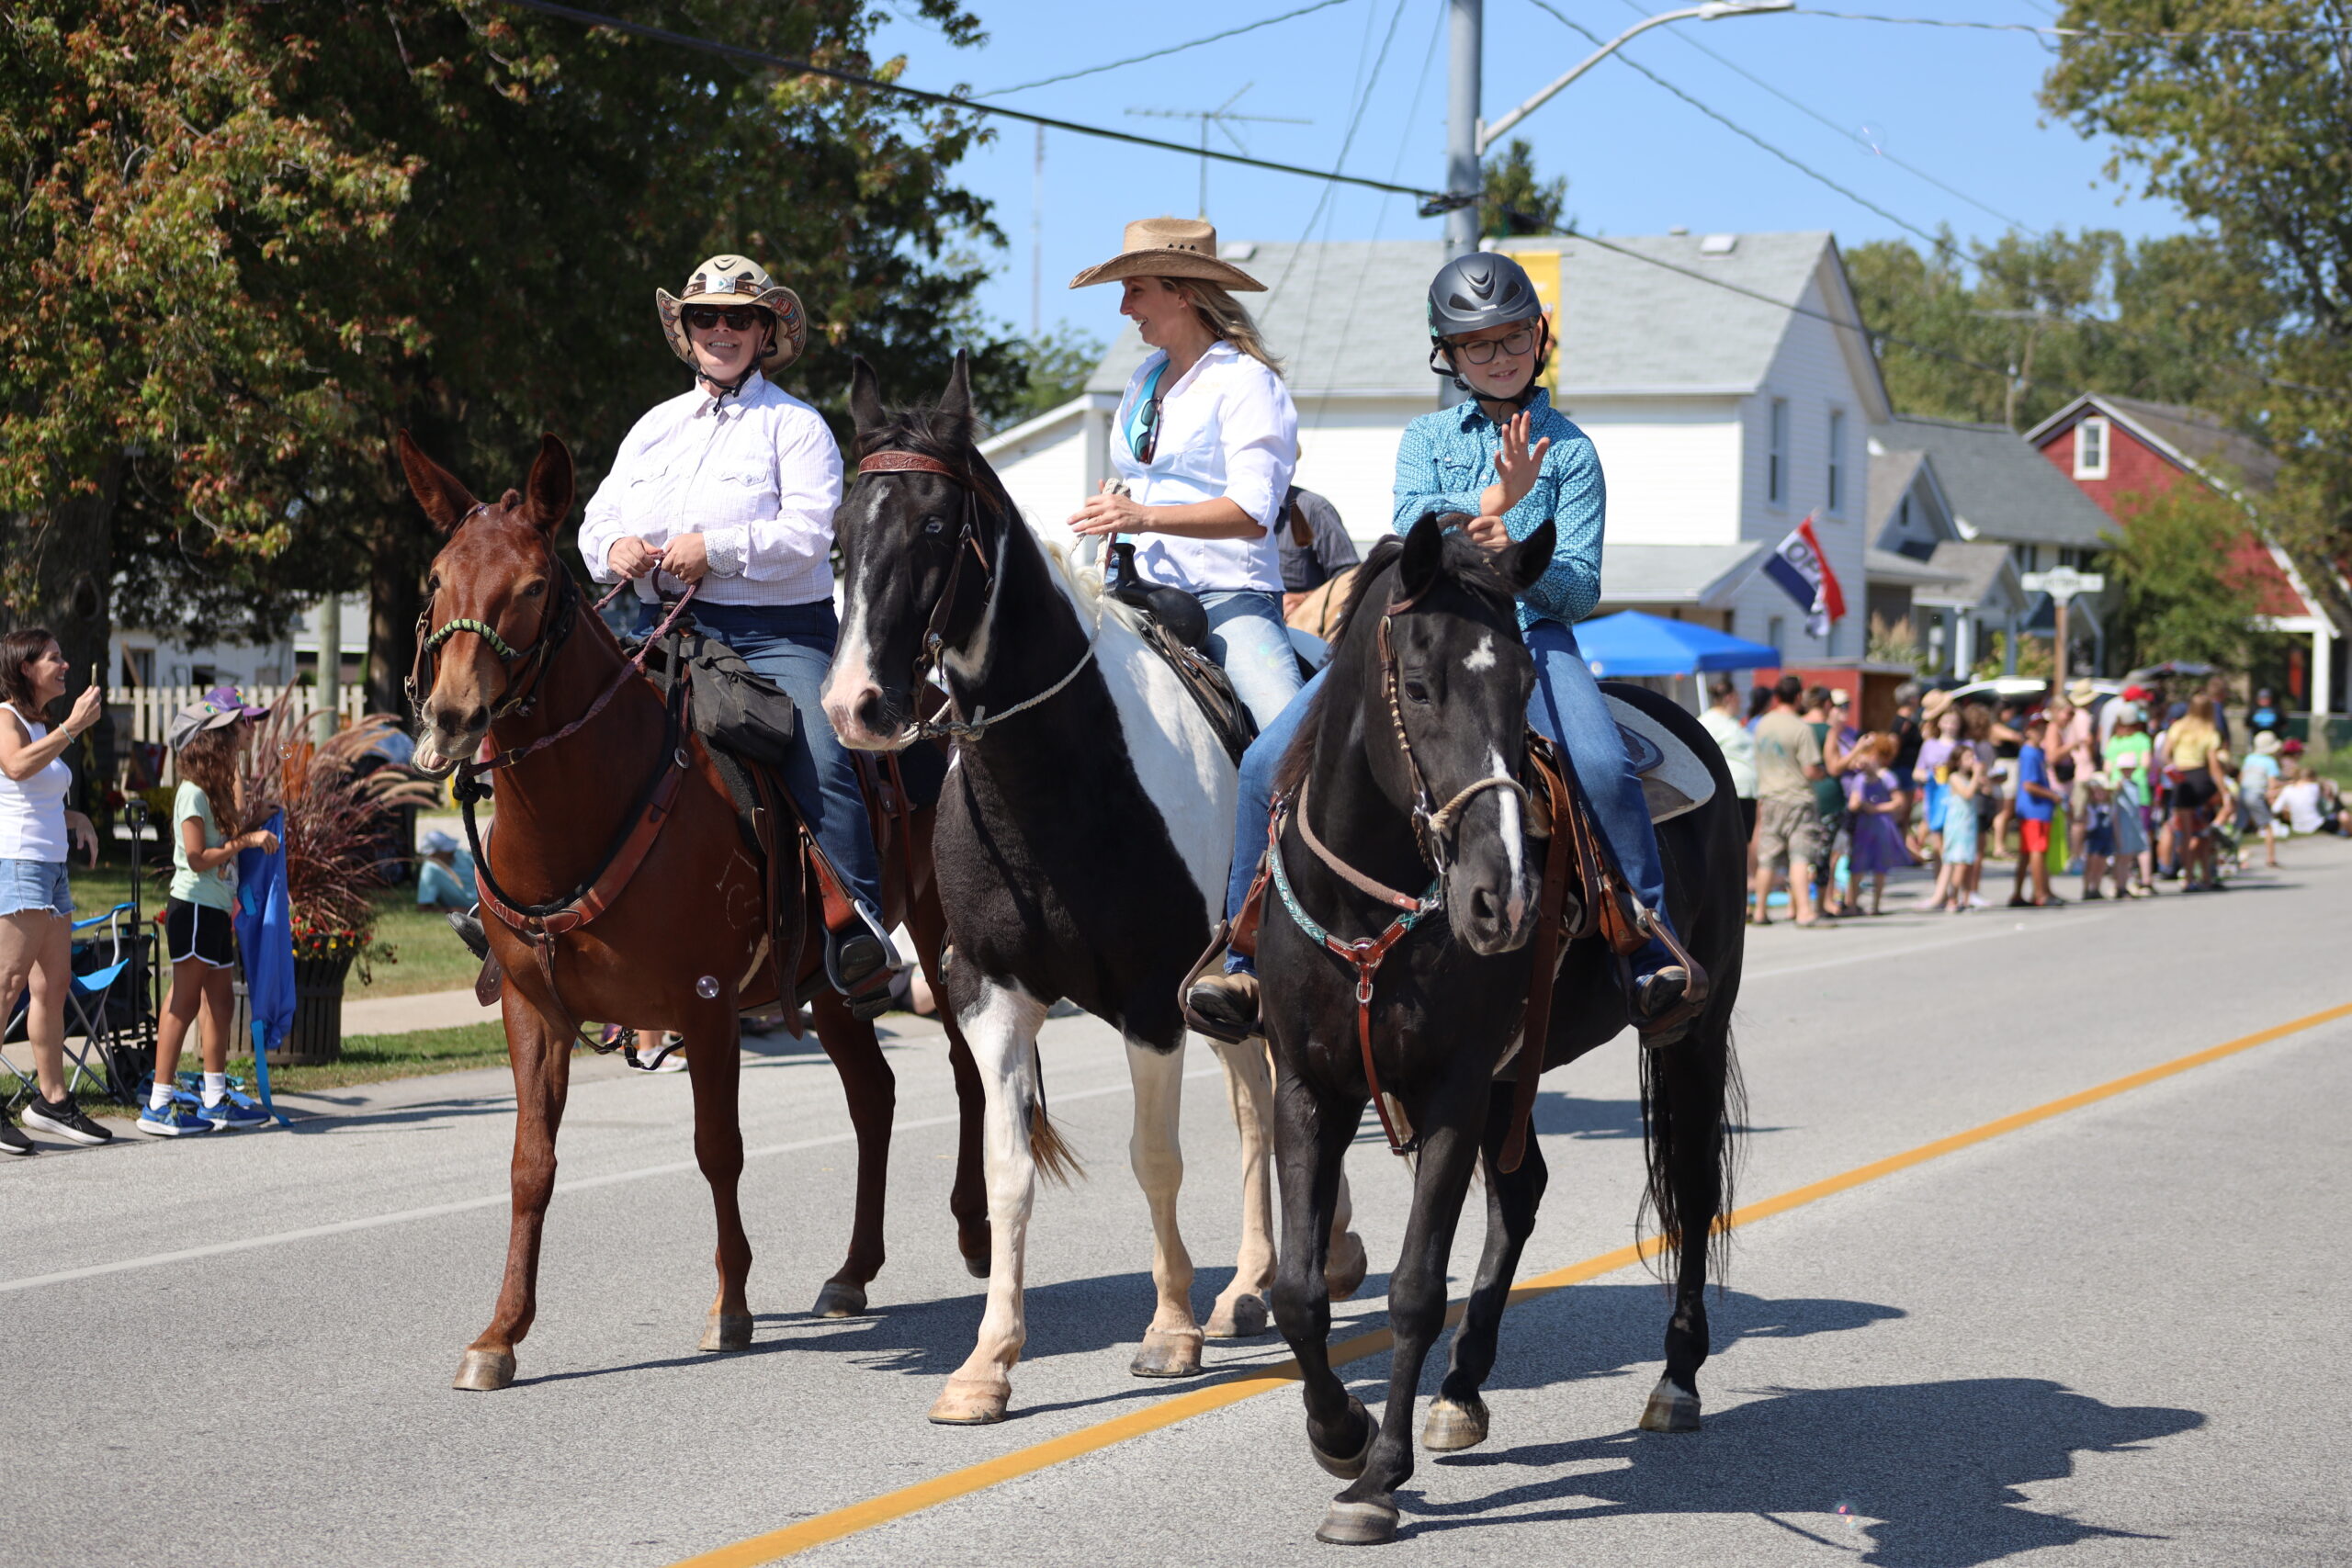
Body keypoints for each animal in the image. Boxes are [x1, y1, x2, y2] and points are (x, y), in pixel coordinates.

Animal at [400, 425, 988, 1382]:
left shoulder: (707, 1004)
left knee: (970, 1072)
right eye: (437, 577)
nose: (452, 717)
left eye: (533, 585)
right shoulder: (534, 1009)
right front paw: (500, 1334)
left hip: (941, 937)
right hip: (827, 984)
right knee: (875, 1096)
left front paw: (731, 1305)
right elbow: (531, 1165)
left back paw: (976, 1229)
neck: (587, 804)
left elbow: (720, 1149)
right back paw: (852, 1272)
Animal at [818, 352, 1374, 1419]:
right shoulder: (991, 995)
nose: (854, 705)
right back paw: (1250, 1285)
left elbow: (1154, 1161)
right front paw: (986, 1364)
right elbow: (1007, 1173)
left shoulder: (1153, 998)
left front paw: (1168, 1330)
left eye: (936, 529)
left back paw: (1322, 1258)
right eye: (835, 535)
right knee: (1255, 1108)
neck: (1056, 777)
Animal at [1250, 517, 1749, 1541]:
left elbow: (1412, 1287)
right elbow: (1297, 1290)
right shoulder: (1308, 1085)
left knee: (1689, 1189)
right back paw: (1461, 1389)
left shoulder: (1451, 1085)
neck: (1369, 911)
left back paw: (1676, 1380)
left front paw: (1376, 1479)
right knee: (1522, 1193)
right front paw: (1341, 1433)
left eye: (1524, 688)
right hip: (1516, 1076)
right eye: (1417, 684)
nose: (1504, 897)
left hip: (1688, 1031)